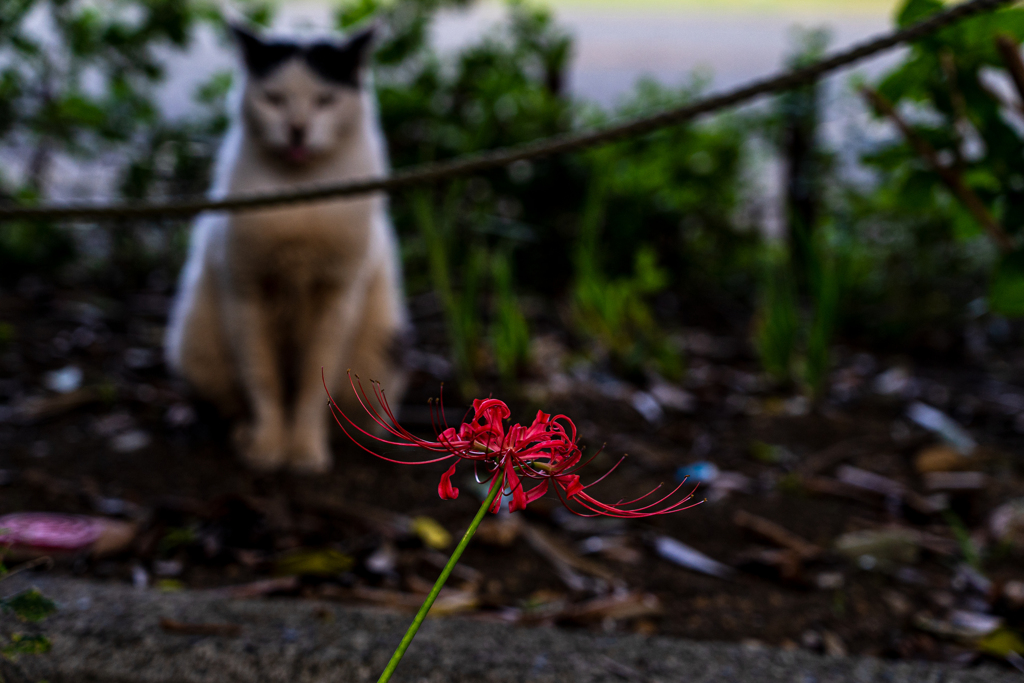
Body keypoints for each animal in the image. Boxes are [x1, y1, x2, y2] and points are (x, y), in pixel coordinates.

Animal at [166, 25, 407, 475]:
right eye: (273, 98)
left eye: (325, 100)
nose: (297, 128)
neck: (300, 198)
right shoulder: (246, 291)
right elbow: (263, 379)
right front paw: (268, 446)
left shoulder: (338, 294)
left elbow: (315, 383)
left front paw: (305, 451)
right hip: (196, 342)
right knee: (230, 400)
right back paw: (243, 433)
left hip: (384, 345)